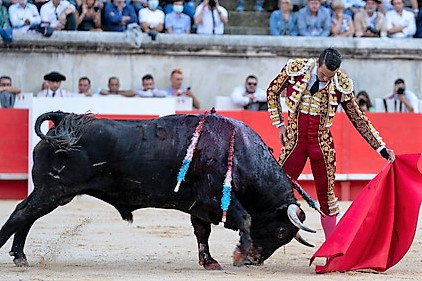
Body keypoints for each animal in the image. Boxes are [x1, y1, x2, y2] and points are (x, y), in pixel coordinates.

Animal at [0, 110, 314, 268]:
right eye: (281, 232)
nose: (256, 261)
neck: (238, 152)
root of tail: (63, 119)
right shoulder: (215, 196)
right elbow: (246, 218)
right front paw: (240, 255)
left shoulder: (199, 205)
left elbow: (202, 233)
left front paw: (209, 262)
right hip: (51, 190)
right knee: (21, 213)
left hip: (55, 193)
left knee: (27, 217)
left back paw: (20, 256)